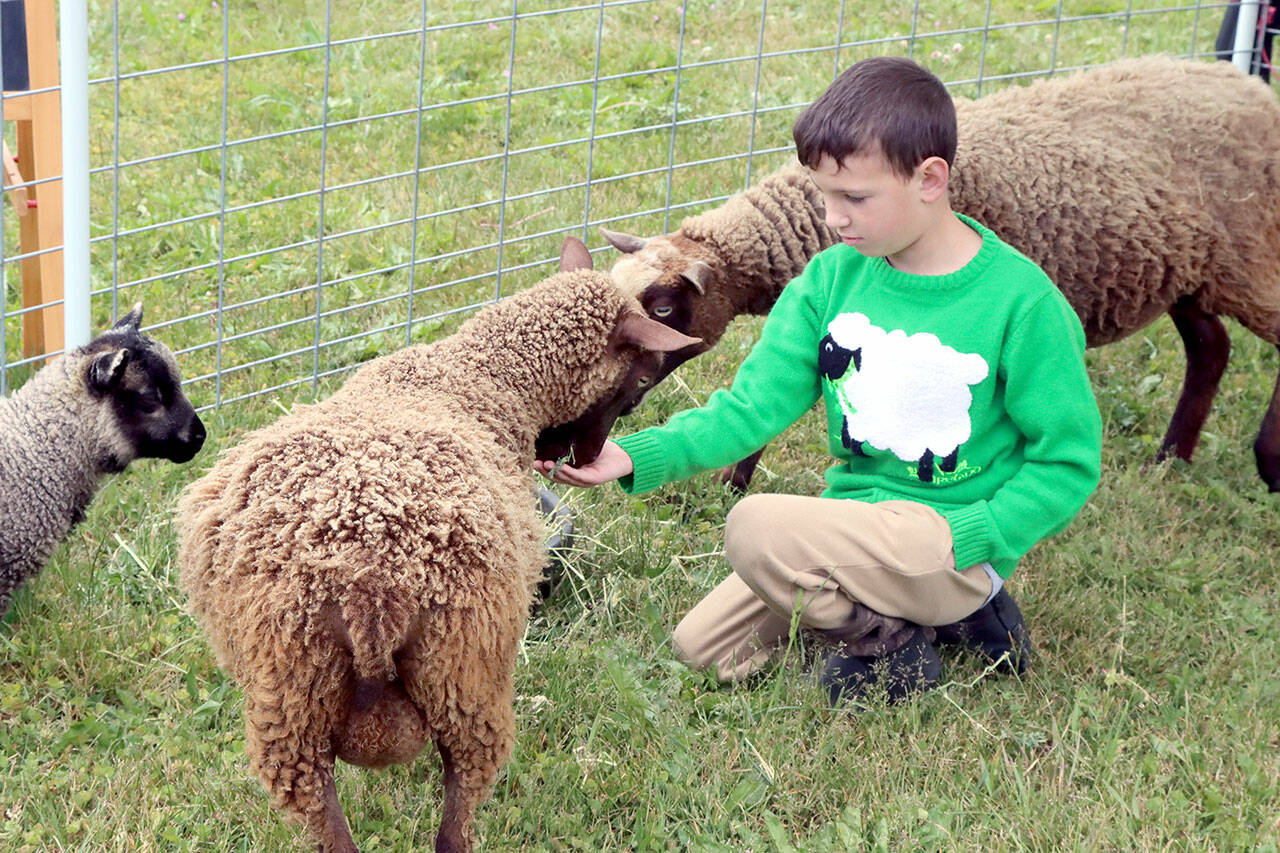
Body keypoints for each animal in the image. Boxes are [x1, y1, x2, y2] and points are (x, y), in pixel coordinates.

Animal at [175, 237, 699, 853]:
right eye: (638, 381)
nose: (581, 458)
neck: (483, 375)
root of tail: (367, 591)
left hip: (290, 687)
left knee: (318, 808)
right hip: (463, 670)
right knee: (460, 804)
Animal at [821, 312, 989, 482]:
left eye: (829, 348)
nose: (822, 369)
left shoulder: (861, 419)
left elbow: (853, 437)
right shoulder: (853, 416)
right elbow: (847, 429)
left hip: (934, 428)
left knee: (933, 453)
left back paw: (930, 473)